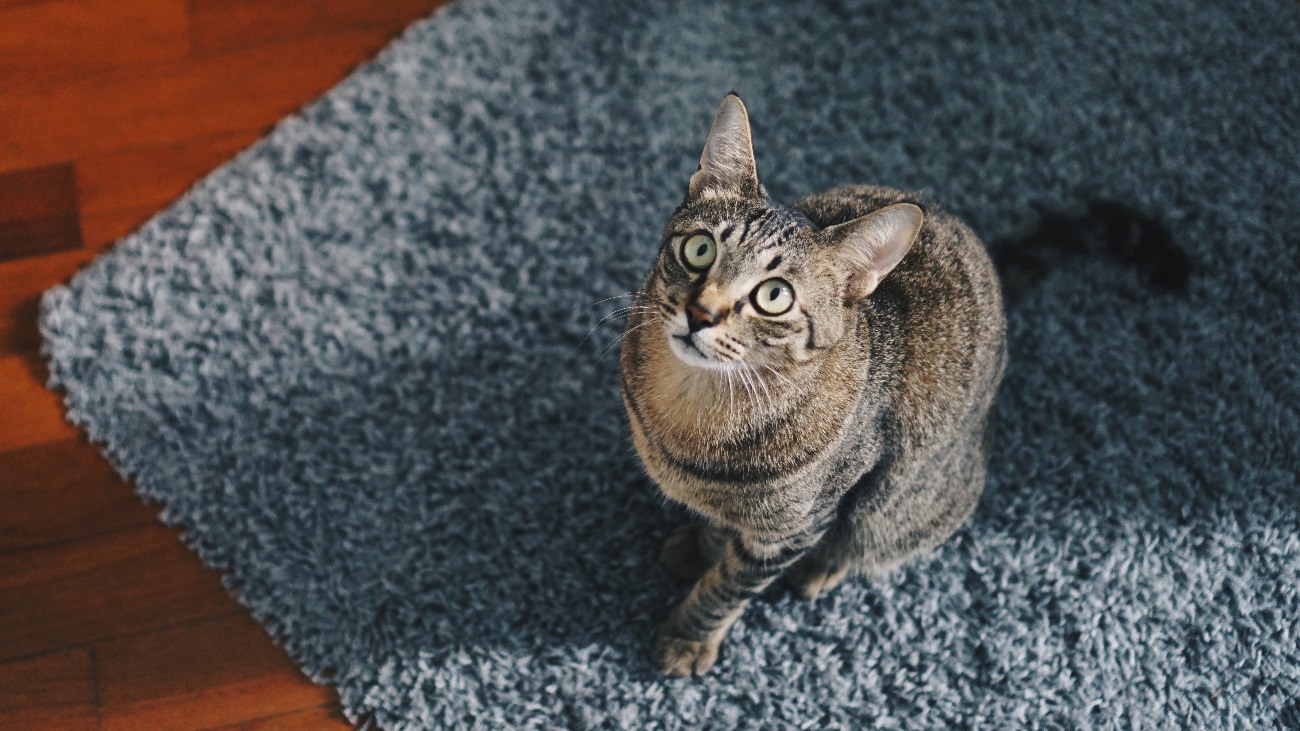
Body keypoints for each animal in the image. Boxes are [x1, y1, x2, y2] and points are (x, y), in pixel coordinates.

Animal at [618, 93, 1003, 676]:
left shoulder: (793, 528)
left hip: (894, 508)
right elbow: (718, 530)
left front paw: (688, 636)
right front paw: (701, 546)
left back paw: (825, 568)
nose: (701, 314)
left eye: (774, 296)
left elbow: (725, 589)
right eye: (700, 250)